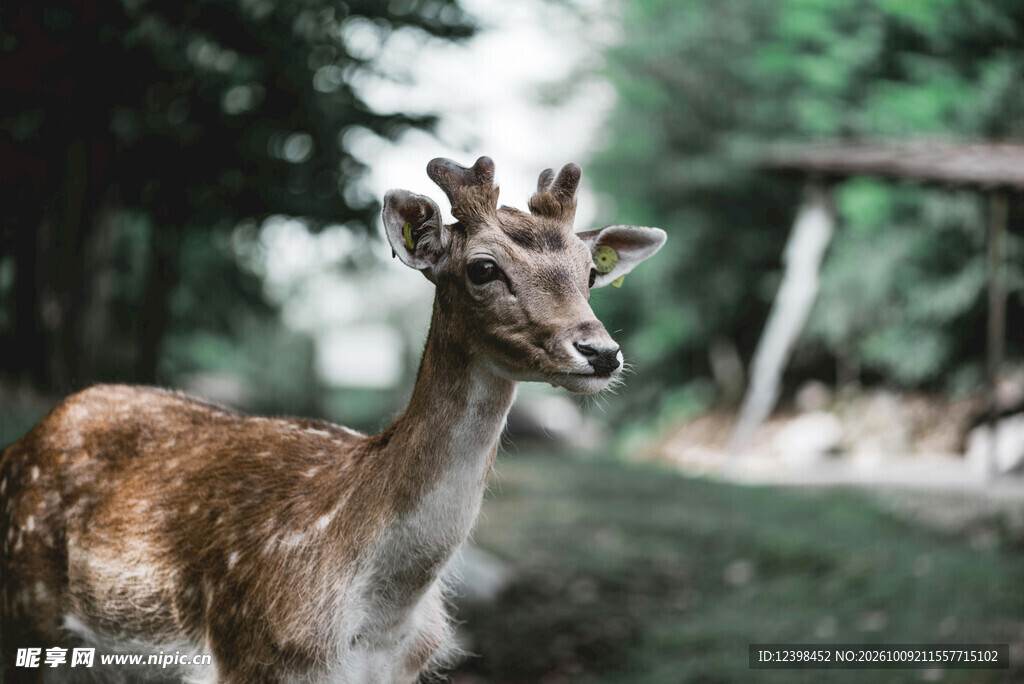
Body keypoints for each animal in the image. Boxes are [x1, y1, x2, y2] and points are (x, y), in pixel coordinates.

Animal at [0, 156, 665, 683]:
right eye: (483, 268)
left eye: (589, 271)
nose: (602, 352)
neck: (376, 618)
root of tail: (19, 445)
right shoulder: (250, 658)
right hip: (30, 617)